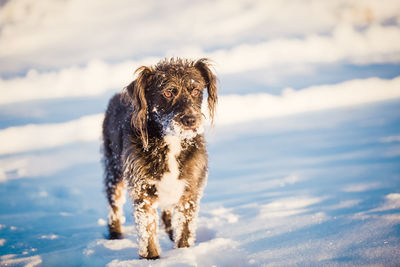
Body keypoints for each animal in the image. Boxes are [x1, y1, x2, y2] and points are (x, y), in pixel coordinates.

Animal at [101, 58, 217, 260]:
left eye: (195, 90)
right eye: (168, 92)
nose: (190, 120)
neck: (171, 141)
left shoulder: (189, 191)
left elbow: (185, 229)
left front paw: (183, 252)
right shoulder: (143, 192)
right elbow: (147, 232)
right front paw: (151, 259)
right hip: (113, 170)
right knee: (114, 205)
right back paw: (115, 235)